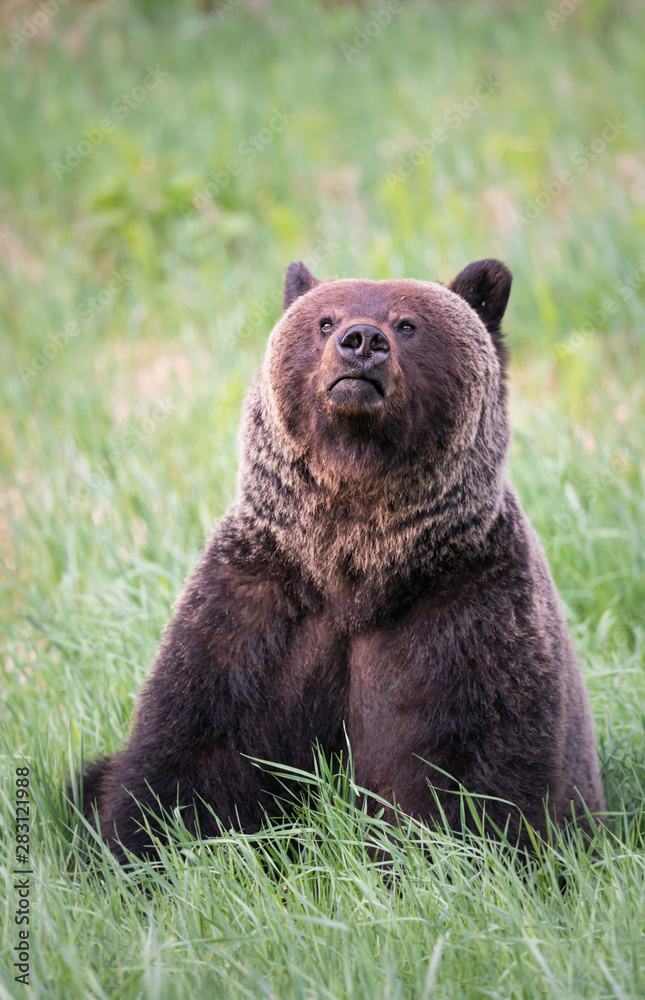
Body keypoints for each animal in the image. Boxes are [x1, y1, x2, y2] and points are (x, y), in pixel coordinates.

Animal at [75, 260, 604, 860]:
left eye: (407, 324)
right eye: (325, 321)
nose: (362, 341)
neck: (356, 566)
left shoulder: (469, 608)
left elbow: (475, 774)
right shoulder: (257, 606)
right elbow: (192, 750)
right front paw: (141, 849)